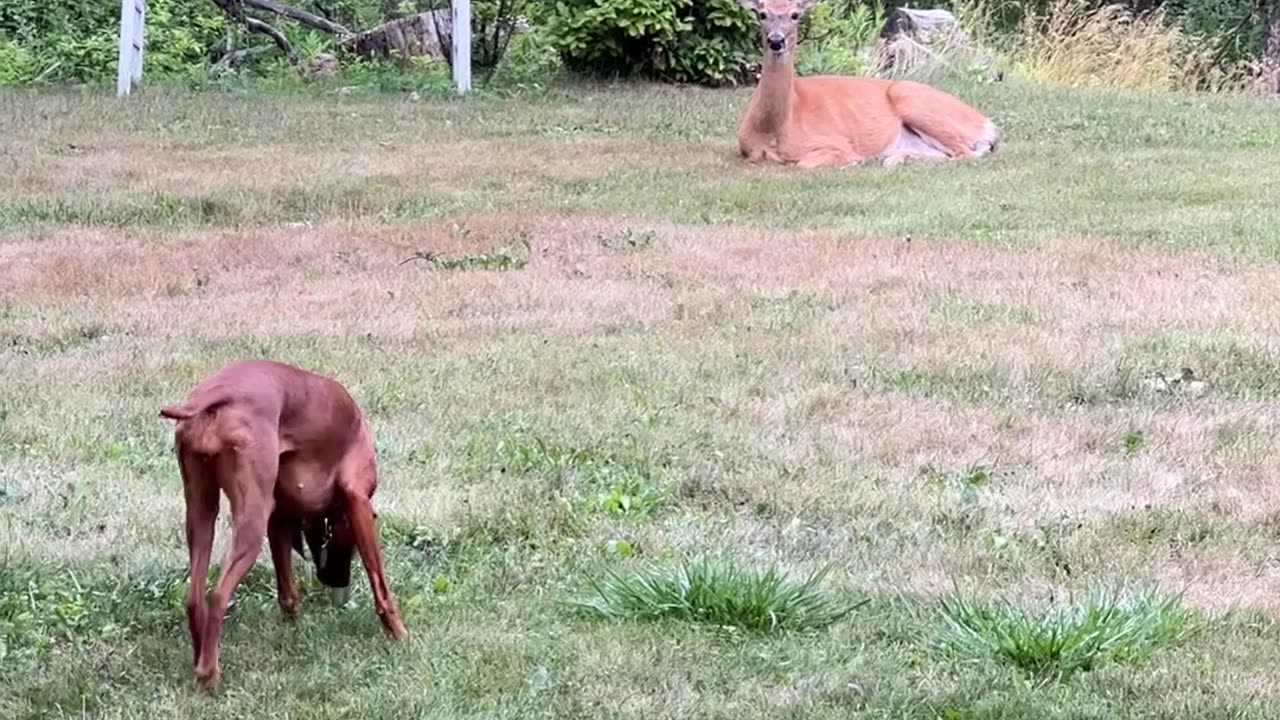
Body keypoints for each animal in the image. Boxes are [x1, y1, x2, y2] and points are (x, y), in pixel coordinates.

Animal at [160, 361, 407, 686]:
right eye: (349, 548)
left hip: (201, 513)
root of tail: (214, 395)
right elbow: (379, 580)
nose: (338, 582)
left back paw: (199, 658)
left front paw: (294, 628)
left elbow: (287, 591)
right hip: (250, 523)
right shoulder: (358, 501)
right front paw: (399, 633)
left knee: (194, 598)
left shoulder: (278, 519)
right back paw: (209, 674)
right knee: (218, 595)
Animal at [742, 0, 998, 167]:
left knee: (966, 153)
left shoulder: (835, 142)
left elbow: (804, 163)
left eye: (795, 14)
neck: (774, 128)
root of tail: (987, 124)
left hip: (913, 99)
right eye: (761, 14)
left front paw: (853, 162)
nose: (776, 40)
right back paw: (893, 158)